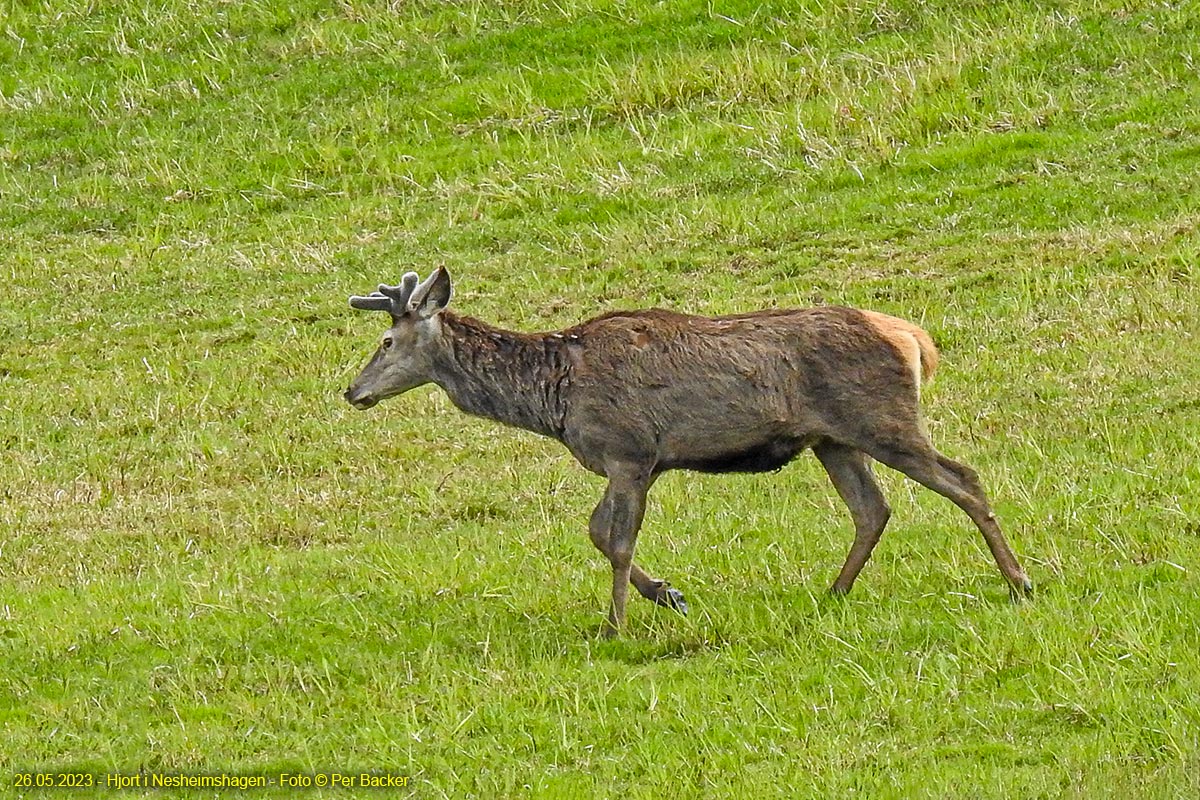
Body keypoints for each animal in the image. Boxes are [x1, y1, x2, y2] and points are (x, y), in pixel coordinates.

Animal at [343, 267, 1036, 638]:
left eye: (385, 340)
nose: (352, 391)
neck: (553, 397)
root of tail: (914, 337)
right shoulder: (632, 464)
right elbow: (597, 532)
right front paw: (670, 594)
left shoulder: (627, 451)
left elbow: (617, 541)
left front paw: (617, 624)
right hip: (834, 440)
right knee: (873, 509)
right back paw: (834, 593)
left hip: (883, 421)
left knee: (964, 478)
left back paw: (1021, 582)